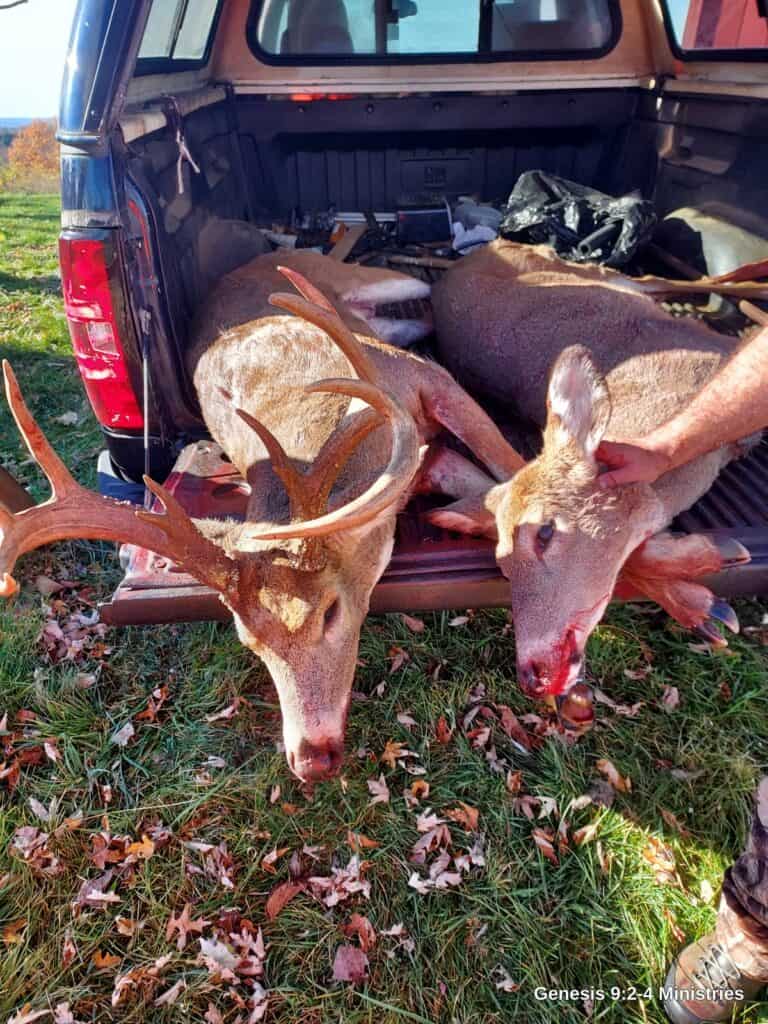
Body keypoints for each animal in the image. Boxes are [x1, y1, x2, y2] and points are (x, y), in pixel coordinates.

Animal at [0, 250, 523, 783]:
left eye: (330, 611)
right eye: (250, 640)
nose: (312, 758)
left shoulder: (427, 379)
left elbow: (509, 464)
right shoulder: (424, 457)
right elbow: (482, 483)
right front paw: (465, 518)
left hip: (375, 285)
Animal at [429, 238, 756, 727]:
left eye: (545, 532)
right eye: (501, 566)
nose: (533, 673)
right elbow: (636, 549)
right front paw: (706, 599)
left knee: (685, 281)